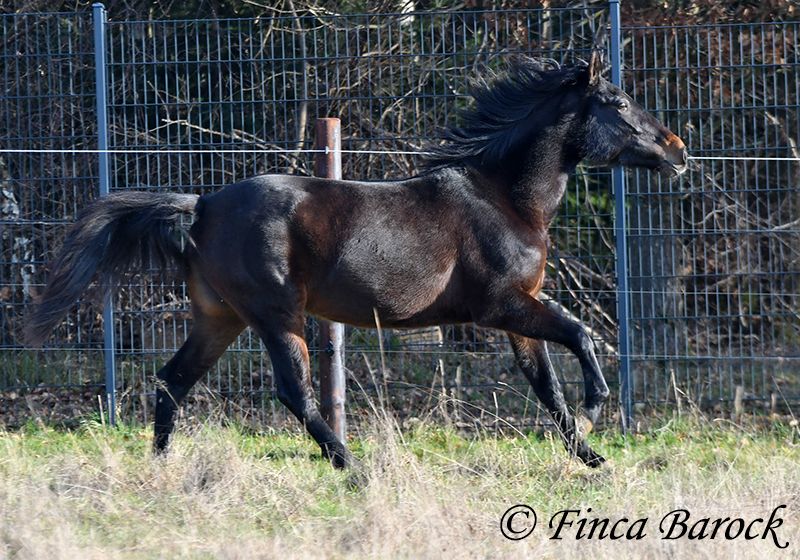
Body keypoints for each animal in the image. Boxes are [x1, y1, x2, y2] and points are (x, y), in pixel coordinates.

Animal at [25, 53, 687, 469]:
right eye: (618, 101)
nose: (678, 150)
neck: (504, 198)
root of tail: (203, 205)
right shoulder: (501, 306)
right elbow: (580, 334)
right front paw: (598, 410)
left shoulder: (517, 315)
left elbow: (547, 385)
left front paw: (591, 455)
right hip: (276, 316)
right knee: (293, 393)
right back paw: (350, 462)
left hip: (220, 318)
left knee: (173, 380)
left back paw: (162, 465)